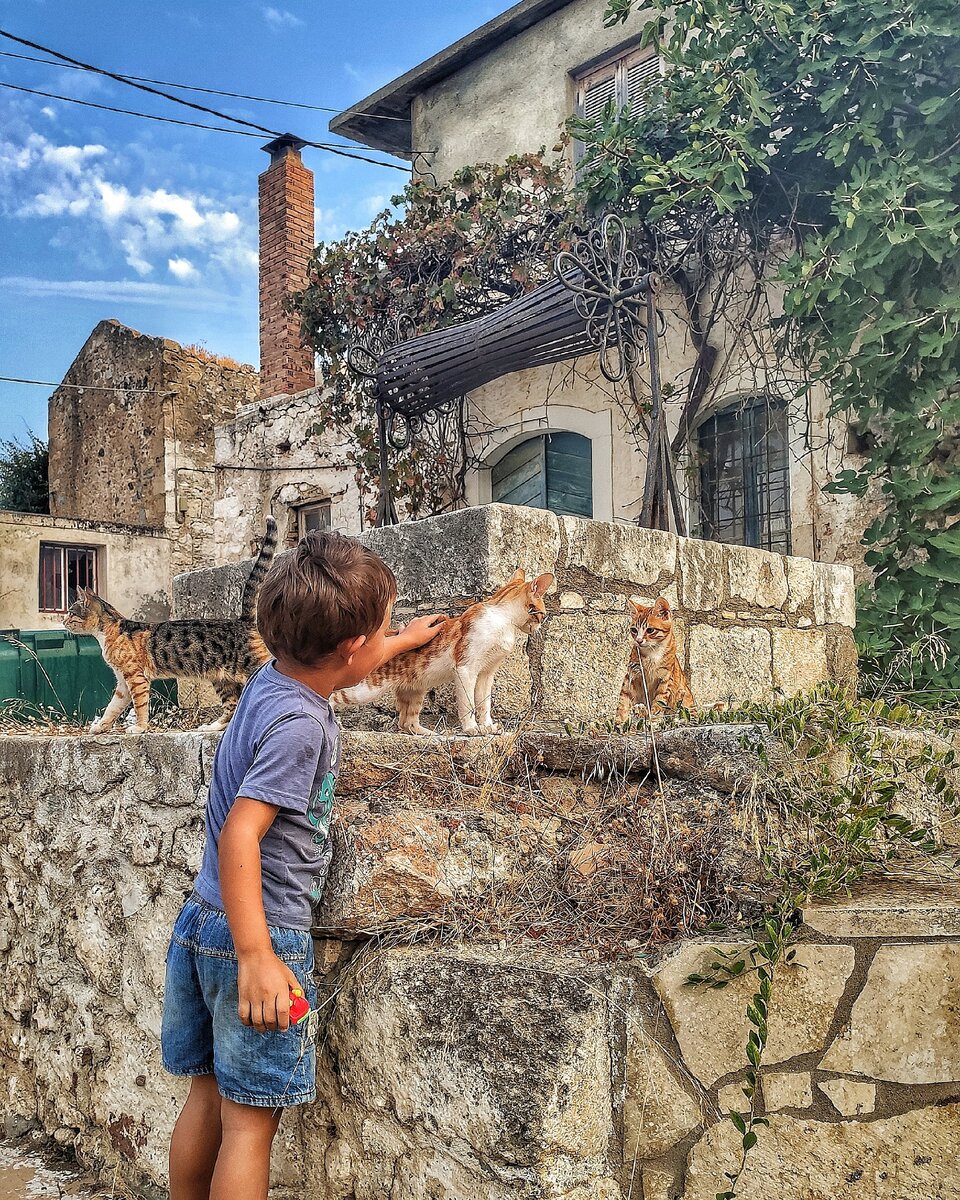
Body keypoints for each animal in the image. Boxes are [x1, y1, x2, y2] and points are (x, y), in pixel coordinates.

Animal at [63, 516, 277, 729]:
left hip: (252, 665)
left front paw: (139, 728)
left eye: (71, 613)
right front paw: (99, 727)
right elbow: (112, 708)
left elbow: (140, 706)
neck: (110, 631)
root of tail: (242, 620)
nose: (63, 619)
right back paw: (214, 726)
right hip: (221, 679)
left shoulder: (136, 678)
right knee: (232, 705)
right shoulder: (123, 683)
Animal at [333, 568, 554, 734]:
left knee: (406, 723)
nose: (540, 626)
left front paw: (488, 726)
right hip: (364, 689)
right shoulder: (466, 668)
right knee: (333, 696)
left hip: (416, 690)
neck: (503, 620)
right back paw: (337, 723)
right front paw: (472, 729)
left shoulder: (486, 673)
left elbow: (484, 703)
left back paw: (430, 734)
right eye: (542, 614)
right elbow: (468, 703)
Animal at [614, 592, 696, 720]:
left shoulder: (665, 679)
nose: (638, 640)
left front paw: (654, 718)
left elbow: (659, 701)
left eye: (650, 630)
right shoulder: (632, 675)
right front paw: (620, 721)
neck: (652, 652)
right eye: (634, 630)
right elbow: (623, 699)